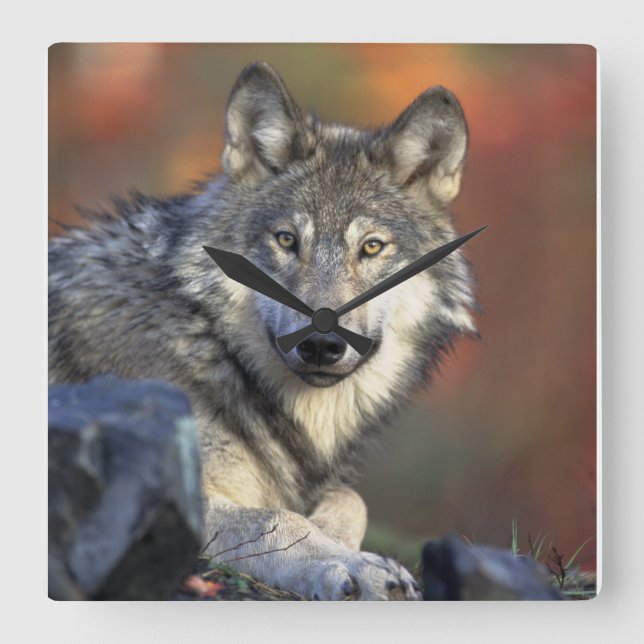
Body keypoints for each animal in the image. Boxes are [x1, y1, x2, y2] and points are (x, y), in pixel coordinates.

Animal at [49, 61, 477, 600]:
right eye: (287, 240)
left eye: (372, 247)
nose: (321, 343)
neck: (210, 345)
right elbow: (277, 520)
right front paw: (354, 565)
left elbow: (349, 498)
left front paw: (340, 541)